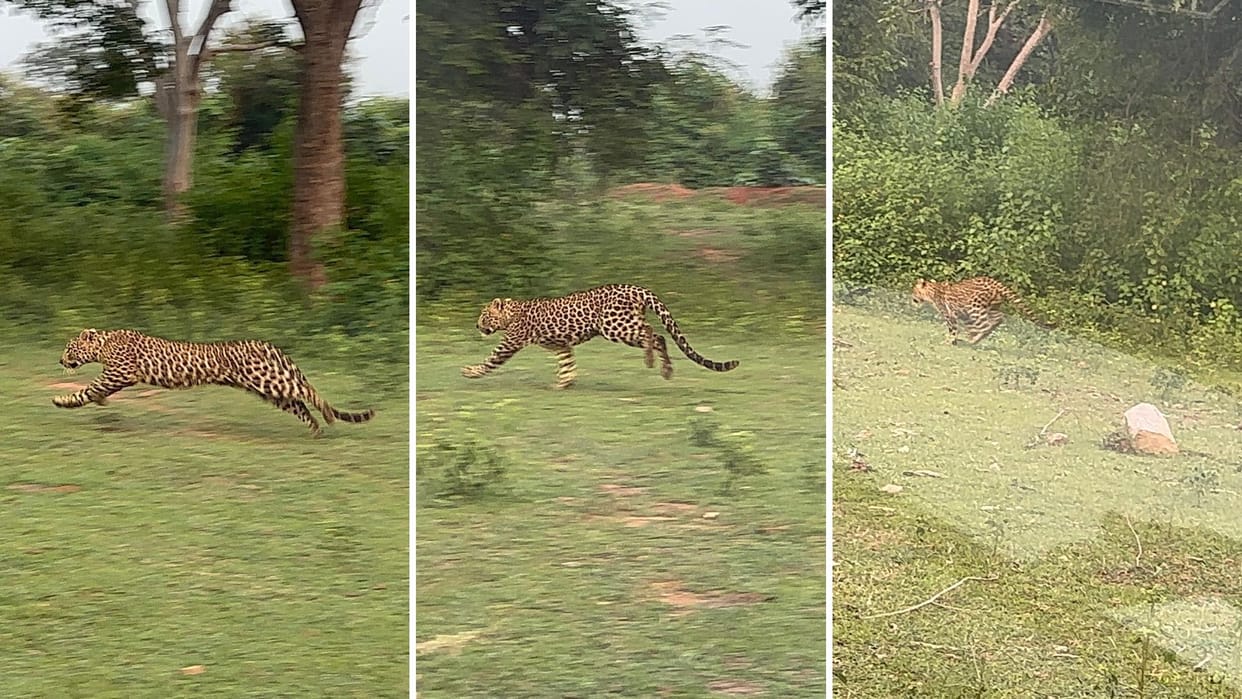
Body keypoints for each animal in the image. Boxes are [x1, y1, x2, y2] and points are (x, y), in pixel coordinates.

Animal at [53, 328, 375, 436]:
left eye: (69, 348)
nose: (60, 360)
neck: (104, 342)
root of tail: (265, 343)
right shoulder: (117, 378)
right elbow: (97, 392)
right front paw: (101, 401)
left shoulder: (117, 374)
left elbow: (87, 390)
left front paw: (61, 401)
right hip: (269, 390)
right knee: (299, 404)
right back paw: (316, 429)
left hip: (267, 379)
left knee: (307, 391)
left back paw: (329, 416)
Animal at [462, 284, 739, 389]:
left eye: (484, 315)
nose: (476, 325)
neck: (512, 312)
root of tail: (636, 287)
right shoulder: (561, 345)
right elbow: (567, 364)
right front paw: (564, 383)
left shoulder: (510, 342)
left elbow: (490, 360)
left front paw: (470, 372)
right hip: (625, 323)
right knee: (658, 336)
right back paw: (666, 370)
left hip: (614, 326)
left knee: (654, 334)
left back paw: (652, 362)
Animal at [911, 276, 1054, 345]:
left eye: (914, 290)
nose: (912, 298)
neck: (932, 291)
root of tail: (996, 282)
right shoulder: (961, 314)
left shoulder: (951, 315)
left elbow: (953, 330)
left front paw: (950, 341)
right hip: (991, 307)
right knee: (999, 317)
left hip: (974, 307)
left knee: (986, 324)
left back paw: (974, 339)